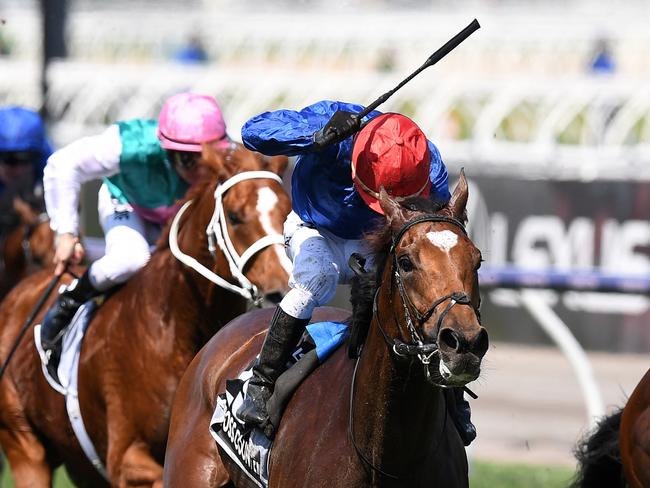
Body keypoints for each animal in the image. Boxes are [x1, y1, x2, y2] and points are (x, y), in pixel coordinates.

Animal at [0, 146, 292, 488]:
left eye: (287, 211)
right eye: (234, 216)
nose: (281, 289)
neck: (172, 327)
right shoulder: (125, 458)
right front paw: (66, 245)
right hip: (26, 447)